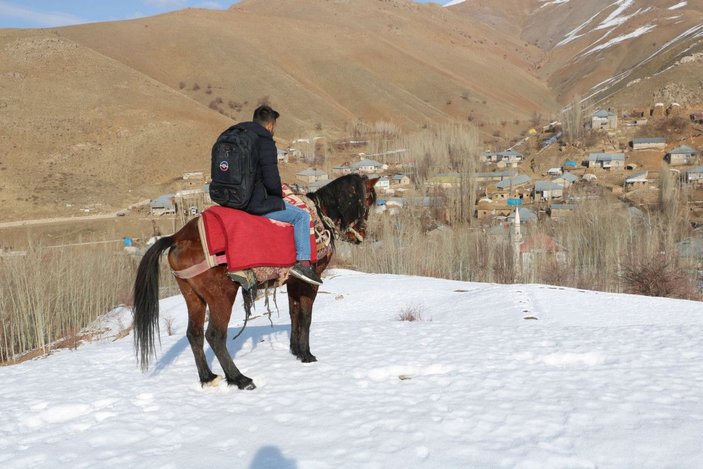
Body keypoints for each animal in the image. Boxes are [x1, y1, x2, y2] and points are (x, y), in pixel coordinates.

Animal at [135, 174, 382, 390]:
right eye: (369, 198)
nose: (361, 234)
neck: (319, 216)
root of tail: (178, 237)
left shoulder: (293, 282)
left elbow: (294, 314)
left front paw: (296, 351)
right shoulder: (309, 281)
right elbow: (305, 317)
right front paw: (307, 355)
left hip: (193, 297)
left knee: (194, 334)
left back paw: (208, 377)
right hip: (221, 296)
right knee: (215, 336)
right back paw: (239, 379)